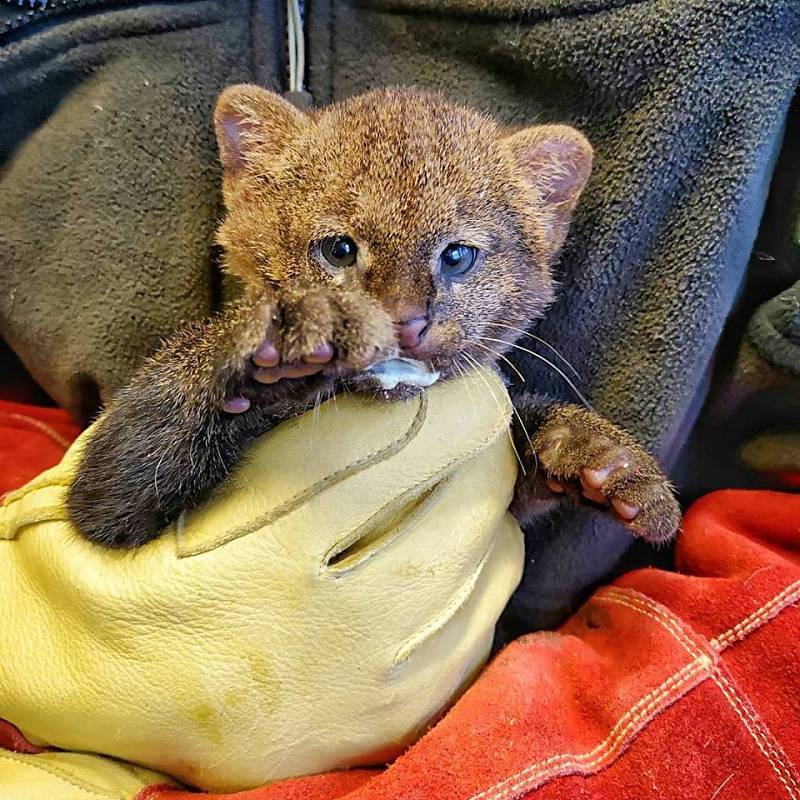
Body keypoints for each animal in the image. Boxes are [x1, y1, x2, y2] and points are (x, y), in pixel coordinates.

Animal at [70, 87, 680, 552]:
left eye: (457, 255)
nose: (404, 321)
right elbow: (149, 429)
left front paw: (601, 456)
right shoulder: (107, 498)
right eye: (339, 249)